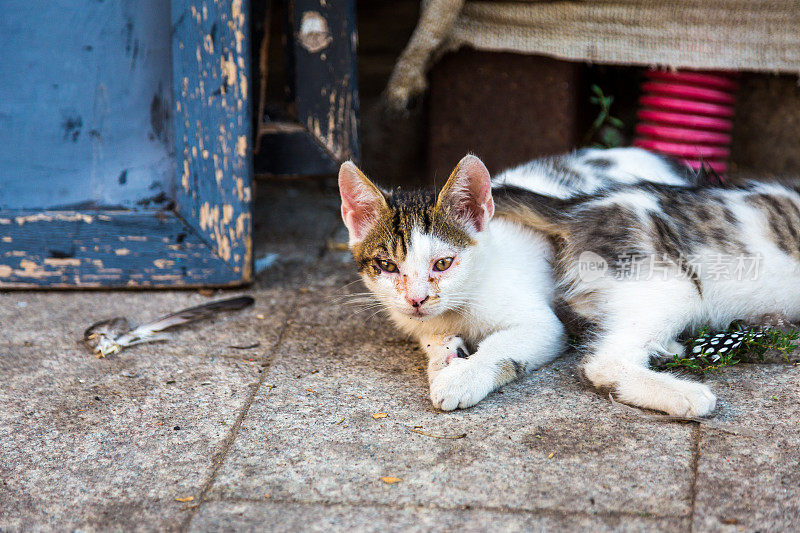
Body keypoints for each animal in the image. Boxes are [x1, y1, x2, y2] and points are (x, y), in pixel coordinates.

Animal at [338, 145, 700, 408]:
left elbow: (503, 346)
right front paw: (442, 357)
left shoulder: (545, 325)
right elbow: (433, 339)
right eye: (387, 266)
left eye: (442, 263)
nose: (416, 299)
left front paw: (461, 378)